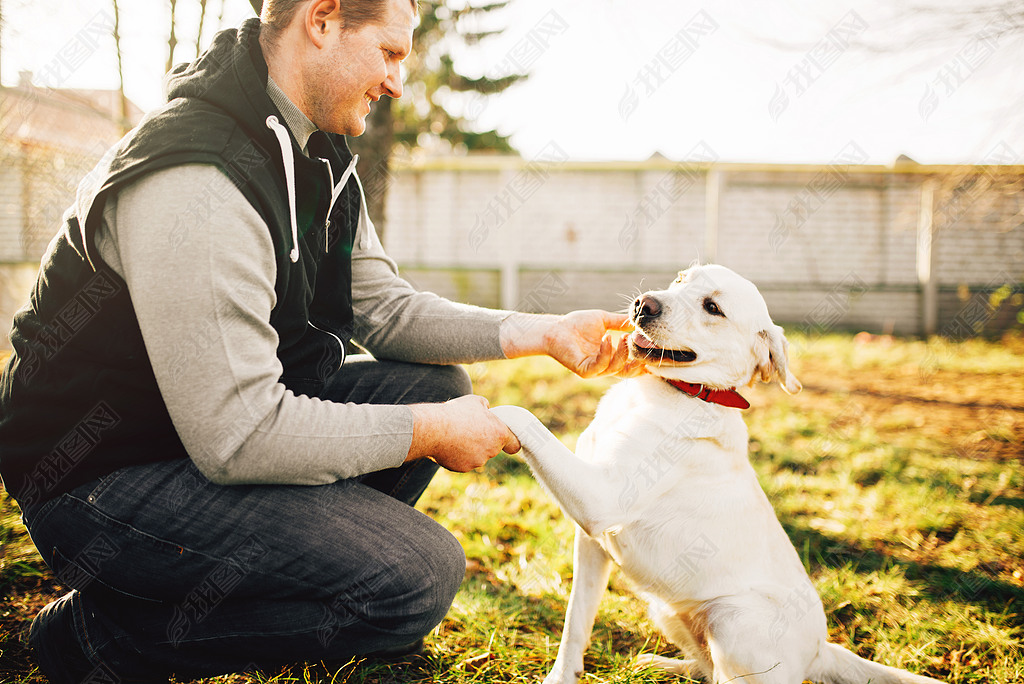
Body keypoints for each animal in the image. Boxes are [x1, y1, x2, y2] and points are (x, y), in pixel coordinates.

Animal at [493, 264, 942, 684]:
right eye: (680, 279)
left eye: (713, 308)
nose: (643, 304)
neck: (672, 393)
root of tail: (821, 651)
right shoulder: (590, 543)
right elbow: (576, 622)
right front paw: (561, 675)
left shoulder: (599, 500)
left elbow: (520, 415)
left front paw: (481, 411)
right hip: (669, 610)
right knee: (705, 668)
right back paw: (657, 663)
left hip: (732, 620)